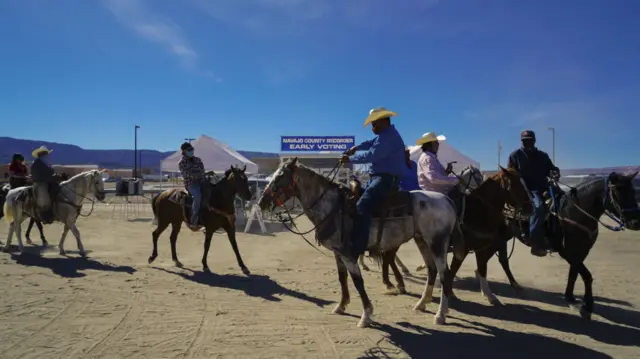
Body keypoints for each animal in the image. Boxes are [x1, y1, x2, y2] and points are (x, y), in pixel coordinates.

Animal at [508, 172, 636, 320]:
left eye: (633, 191)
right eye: (617, 192)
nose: (636, 222)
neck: (572, 212)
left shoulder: (582, 251)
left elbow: (574, 273)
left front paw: (570, 298)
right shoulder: (567, 252)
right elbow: (586, 275)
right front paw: (587, 307)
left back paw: (514, 284)